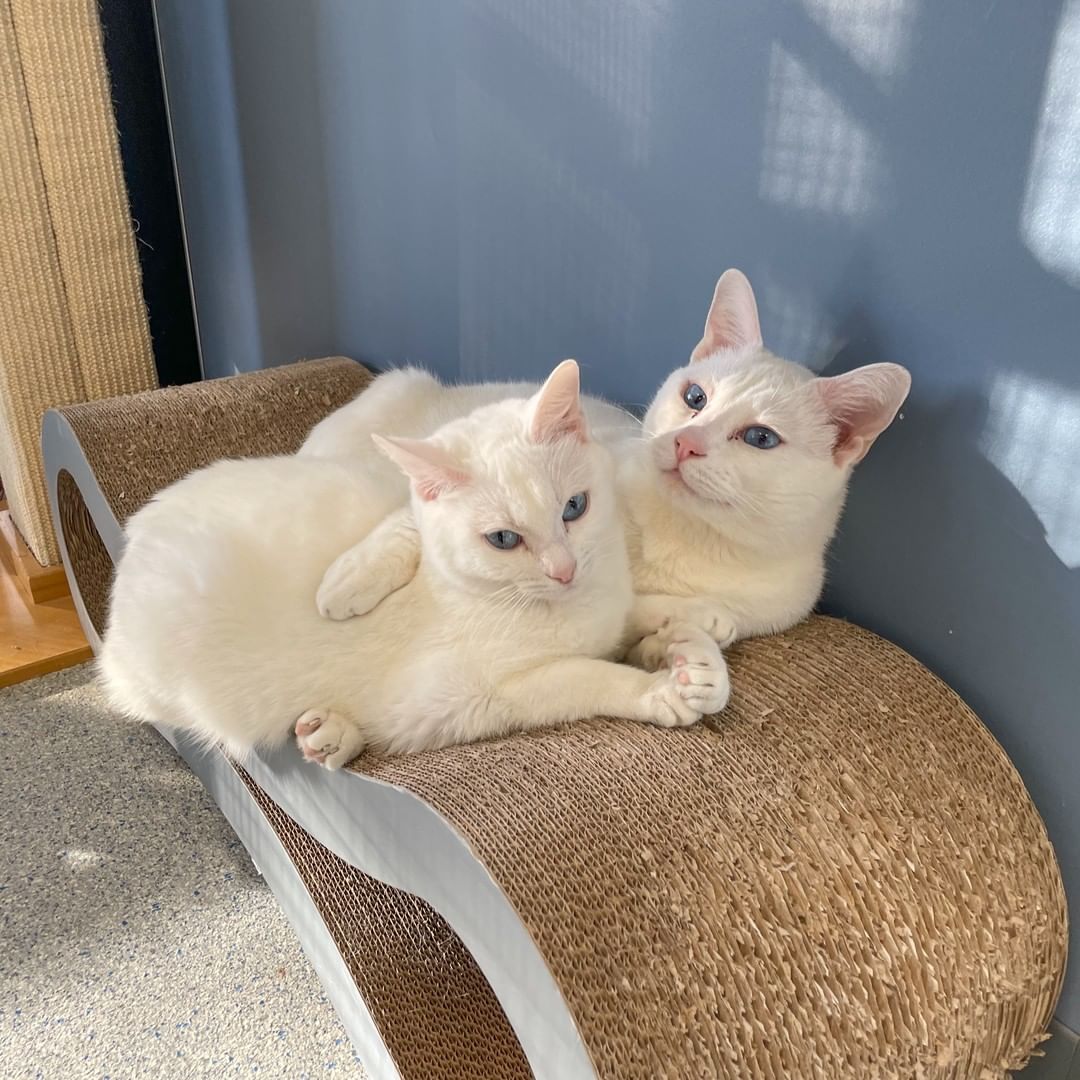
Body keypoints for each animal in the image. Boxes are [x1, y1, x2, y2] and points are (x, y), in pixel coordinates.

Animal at [101, 362, 730, 768]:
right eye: (504, 539)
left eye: (574, 507)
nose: (563, 570)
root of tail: (137, 531)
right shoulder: (479, 698)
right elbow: (591, 676)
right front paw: (659, 690)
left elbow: (634, 613)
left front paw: (698, 628)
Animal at [306, 267, 911, 665]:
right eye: (695, 397)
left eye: (760, 438)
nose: (685, 442)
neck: (684, 535)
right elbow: (408, 522)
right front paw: (352, 577)